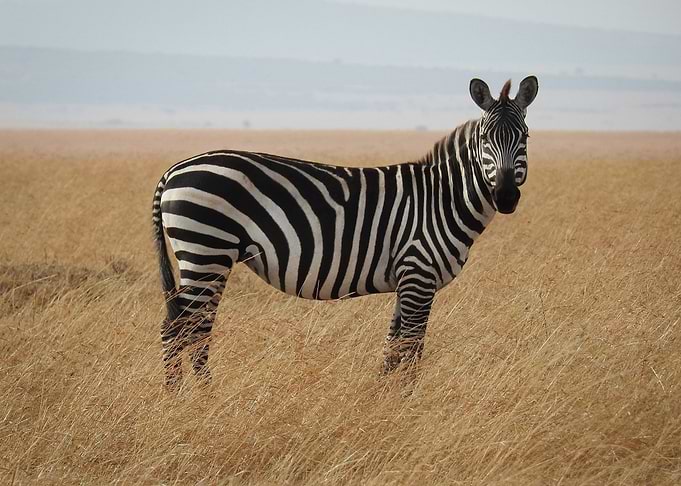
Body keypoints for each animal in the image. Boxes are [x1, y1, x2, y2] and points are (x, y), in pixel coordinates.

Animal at [152, 76, 539, 389]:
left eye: (525, 137)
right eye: (485, 139)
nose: (506, 197)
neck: (442, 199)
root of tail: (174, 169)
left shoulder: (407, 280)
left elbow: (392, 347)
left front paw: (382, 400)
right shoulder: (419, 274)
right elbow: (412, 347)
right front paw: (408, 402)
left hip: (209, 257)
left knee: (190, 329)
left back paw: (189, 397)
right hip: (207, 251)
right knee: (182, 330)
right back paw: (192, 400)